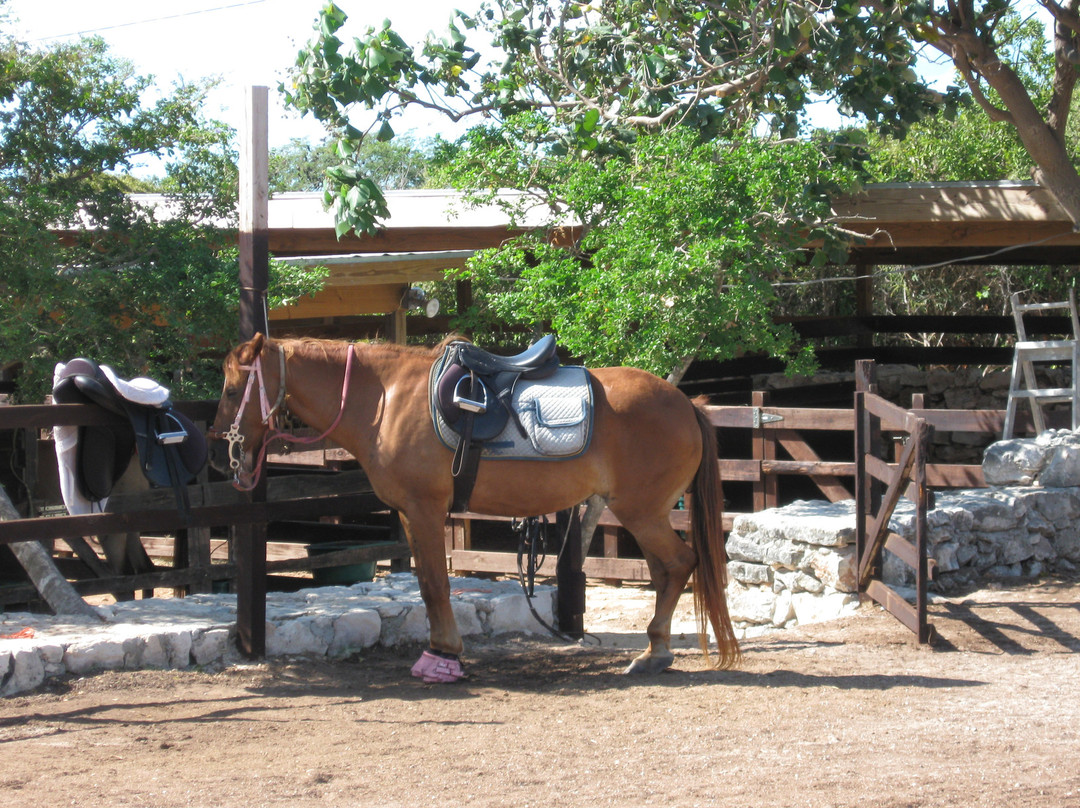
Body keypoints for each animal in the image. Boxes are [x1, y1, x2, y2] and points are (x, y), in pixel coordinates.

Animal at [207, 333, 739, 682]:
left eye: (232, 390)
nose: (216, 453)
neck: (383, 399)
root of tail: (686, 404)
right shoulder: (410, 514)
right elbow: (427, 583)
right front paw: (443, 650)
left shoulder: (424, 509)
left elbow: (436, 585)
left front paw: (443, 657)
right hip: (645, 513)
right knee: (668, 571)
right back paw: (656, 649)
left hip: (642, 512)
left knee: (678, 564)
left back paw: (653, 653)